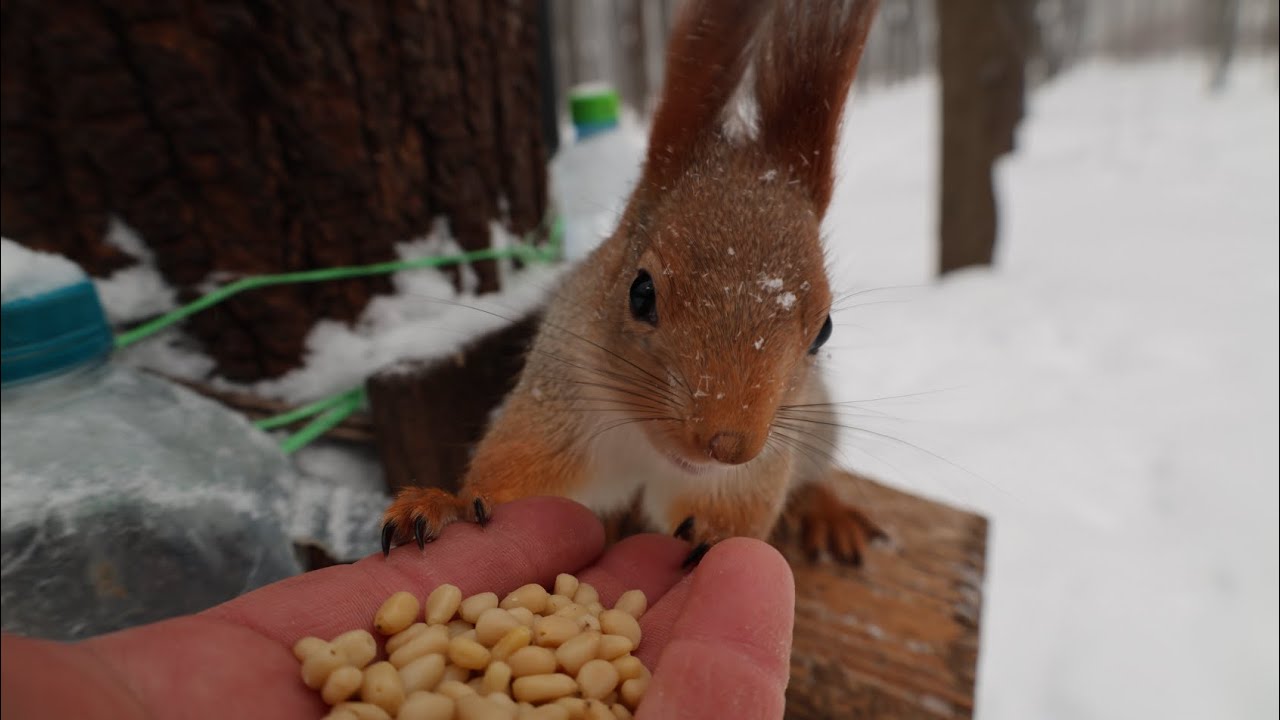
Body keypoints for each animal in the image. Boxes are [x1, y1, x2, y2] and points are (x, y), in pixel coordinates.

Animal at [383, 0, 885, 567]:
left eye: (824, 330)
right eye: (640, 292)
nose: (728, 445)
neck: (649, 450)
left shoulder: (750, 474)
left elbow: (739, 516)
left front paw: (717, 536)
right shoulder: (555, 410)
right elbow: (509, 479)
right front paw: (443, 504)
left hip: (816, 424)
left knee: (813, 475)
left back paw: (829, 513)